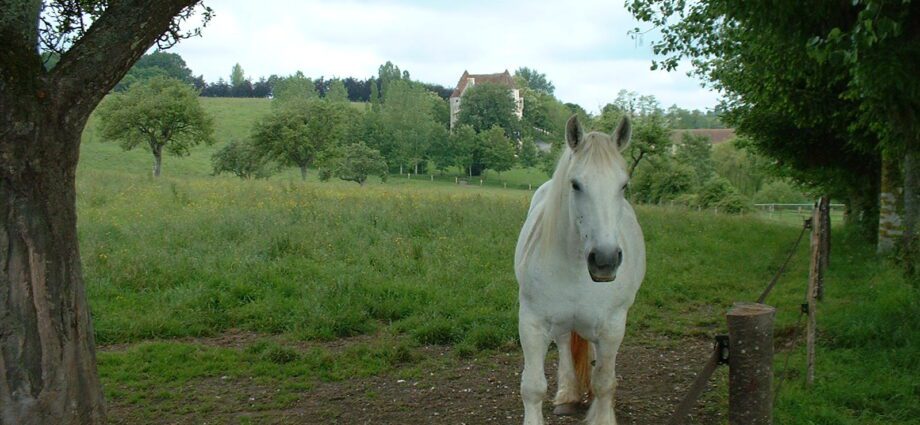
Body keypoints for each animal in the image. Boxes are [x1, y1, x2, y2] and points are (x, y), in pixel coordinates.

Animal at [512, 113, 644, 424]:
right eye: (575, 184)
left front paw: (603, 413)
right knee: (564, 347)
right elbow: (532, 387)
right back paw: (568, 395)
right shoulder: (532, 322)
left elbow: (605, 382)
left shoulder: (612, 325)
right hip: (560, 323)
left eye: (623, 185)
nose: (605, 260)